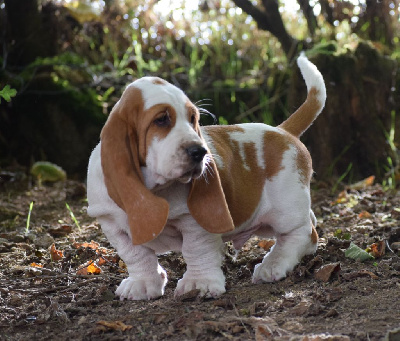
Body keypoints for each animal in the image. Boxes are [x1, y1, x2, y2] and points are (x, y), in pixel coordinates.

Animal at [86, 51, 324, 298]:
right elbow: (135, 255)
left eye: (193, 118)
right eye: (161, 119)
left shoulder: (195, 221)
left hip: (285, 208)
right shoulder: (113, 225)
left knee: (303, 234)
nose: (200, 152)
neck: (157, 189)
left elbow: (196, 249)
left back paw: (273, 264)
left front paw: (199, 284)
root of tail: (283, 131)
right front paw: (142, 284)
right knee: (308, 222)